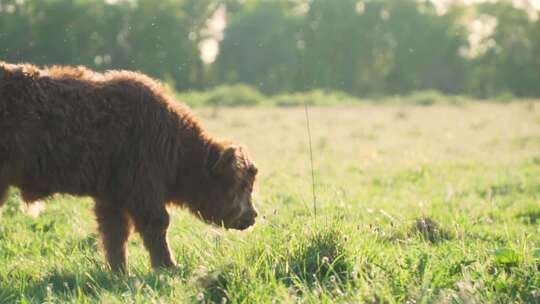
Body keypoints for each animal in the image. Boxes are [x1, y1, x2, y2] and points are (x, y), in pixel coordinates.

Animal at [0, 61, 258, 270]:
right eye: (242, 185)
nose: (253, 216)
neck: (175, 145)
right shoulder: (142, 190)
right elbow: (156, 225)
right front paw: (168, 267)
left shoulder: (112, 196)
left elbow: (115, 235)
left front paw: (119, 272)